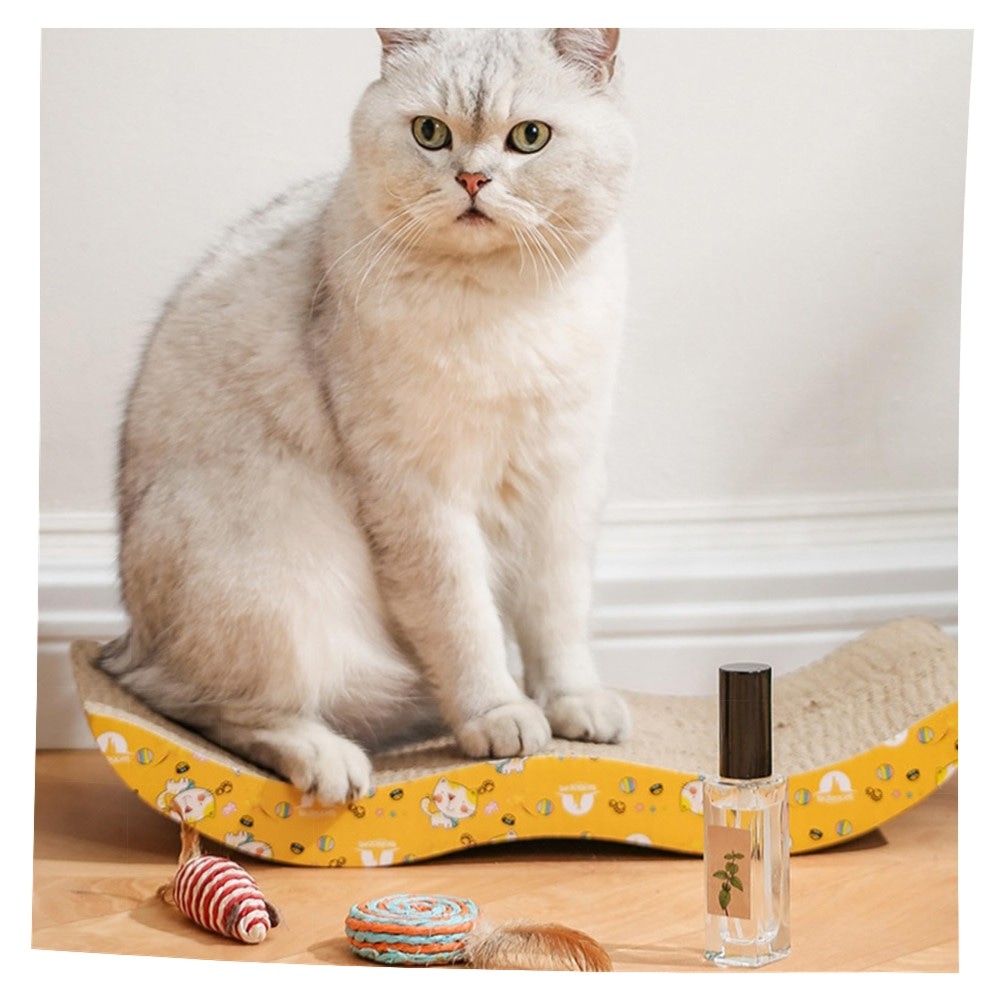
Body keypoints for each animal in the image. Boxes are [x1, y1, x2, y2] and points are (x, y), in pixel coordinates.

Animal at [97, 28, 634, 805]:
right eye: (431, 133)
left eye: (529, 137)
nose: (473, 181)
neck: (507, 304)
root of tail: (129, 639)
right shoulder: (421, 496)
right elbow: (465, 623)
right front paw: (499, 715)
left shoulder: (564, 480)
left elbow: (558, 619)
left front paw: (573, 706)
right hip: (279, 591)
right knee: (194, 706)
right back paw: (332, 761)